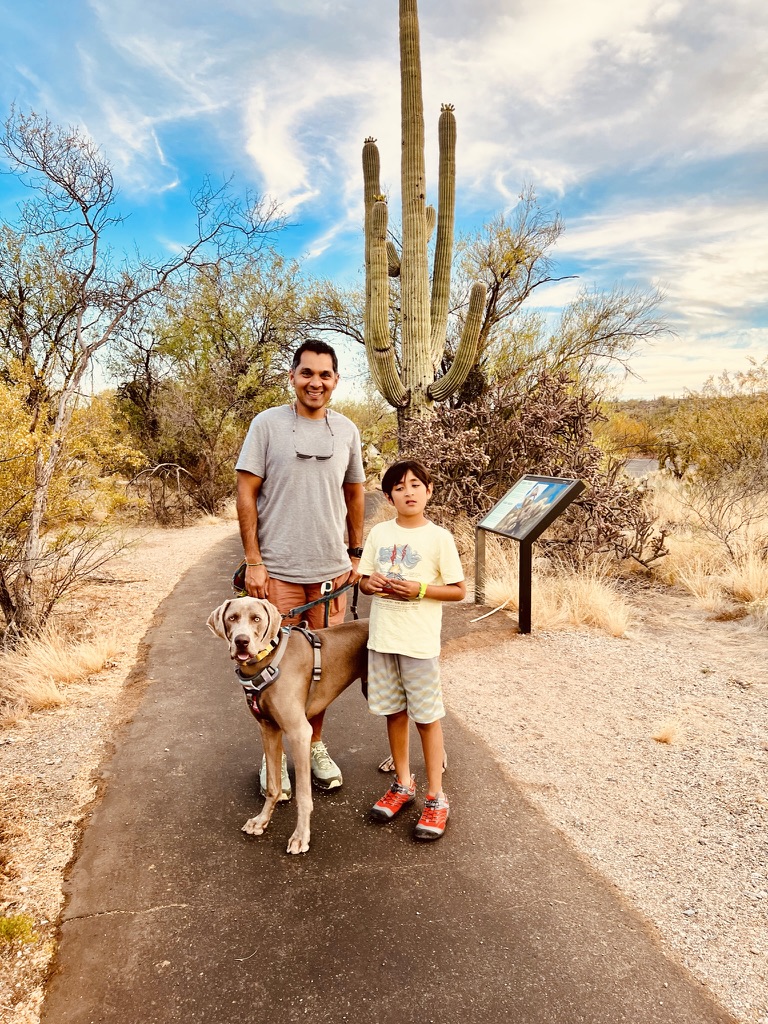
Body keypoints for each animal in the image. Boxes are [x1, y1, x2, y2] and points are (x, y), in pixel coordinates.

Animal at [207, 598, 370, 851]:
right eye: (232, 618)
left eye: (256, 618)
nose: (241, 641)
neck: (268, 659)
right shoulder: (268, 728)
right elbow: (272, 786)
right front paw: (261, 821)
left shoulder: (299, 732)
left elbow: (303, 795)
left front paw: (301, 835)